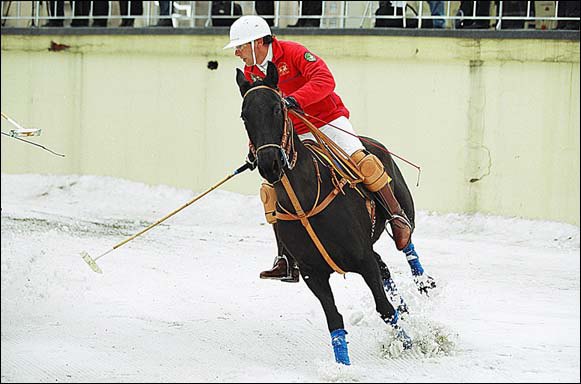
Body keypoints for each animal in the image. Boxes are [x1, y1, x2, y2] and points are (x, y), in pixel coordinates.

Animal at [233, 61, 414, 364]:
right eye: (245, 116)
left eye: (278, 108)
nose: (269, 164)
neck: (305, 199)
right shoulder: (312, 273)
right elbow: (334, 319)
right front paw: (343, 366)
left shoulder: (362, 259)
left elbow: (384, 308)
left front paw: (410, 343)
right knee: (385, 266)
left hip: (400, 207)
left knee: (406, 241)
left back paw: (420, 274)